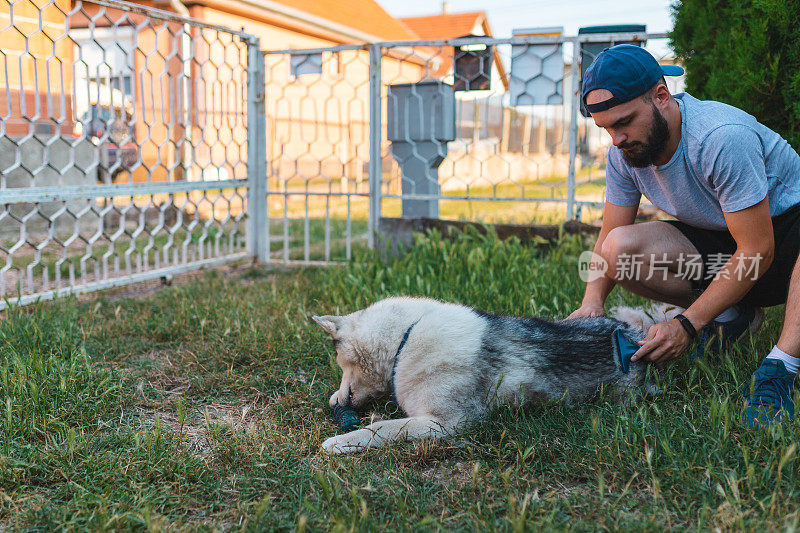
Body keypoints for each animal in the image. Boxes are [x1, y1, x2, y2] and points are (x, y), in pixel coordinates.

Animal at [312, 298, 676, 450]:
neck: (406, 338)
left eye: (341, 364)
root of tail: (634, 336)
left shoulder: (443, 424)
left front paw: (339, 442)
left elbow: (382, 430)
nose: (338, 404)